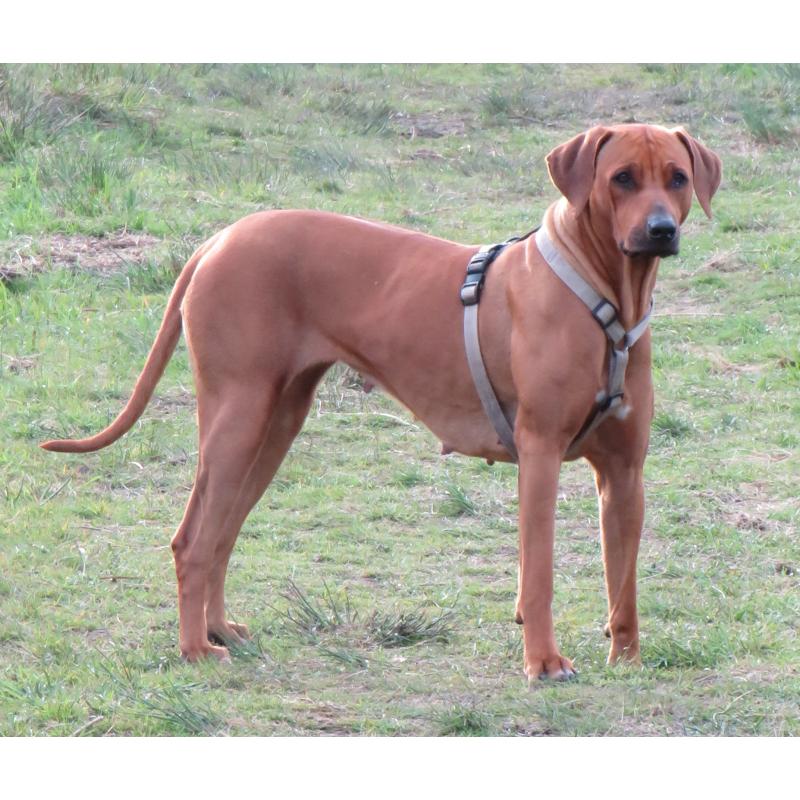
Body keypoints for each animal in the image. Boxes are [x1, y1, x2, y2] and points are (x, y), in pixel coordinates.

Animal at [40, 125, 720, 680]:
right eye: (622, 178)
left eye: (677, 178)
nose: (661, 231)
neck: (604, 297)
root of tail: (218, 239)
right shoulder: (541, 457)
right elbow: (540, 576)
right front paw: (544, 662)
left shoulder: (625, 475)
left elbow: (624, 583)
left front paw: (627, 659)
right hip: (238, 416)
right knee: (193, 541)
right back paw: (194, 650)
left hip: (274, 424)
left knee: (221, 534)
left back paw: (218, 628)